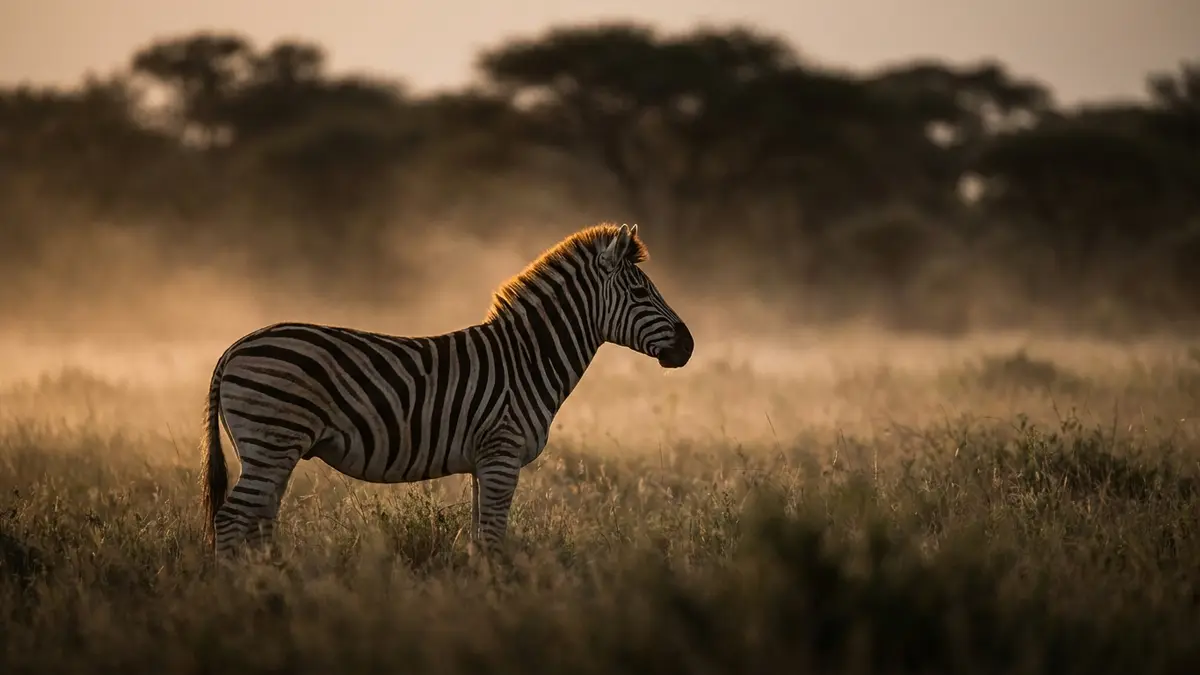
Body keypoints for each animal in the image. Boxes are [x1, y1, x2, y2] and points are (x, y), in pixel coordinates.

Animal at [199, 222, 694, 559]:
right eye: (640, 292)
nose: (688, 346)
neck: (527, 360)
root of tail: (233, 348)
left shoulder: (484, 461)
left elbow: (479, 537)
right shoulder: (501, 453)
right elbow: (492, 538)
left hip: (269, 448)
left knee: (259, 518)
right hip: (272, 437)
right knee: (232, 517)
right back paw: (238, 590)